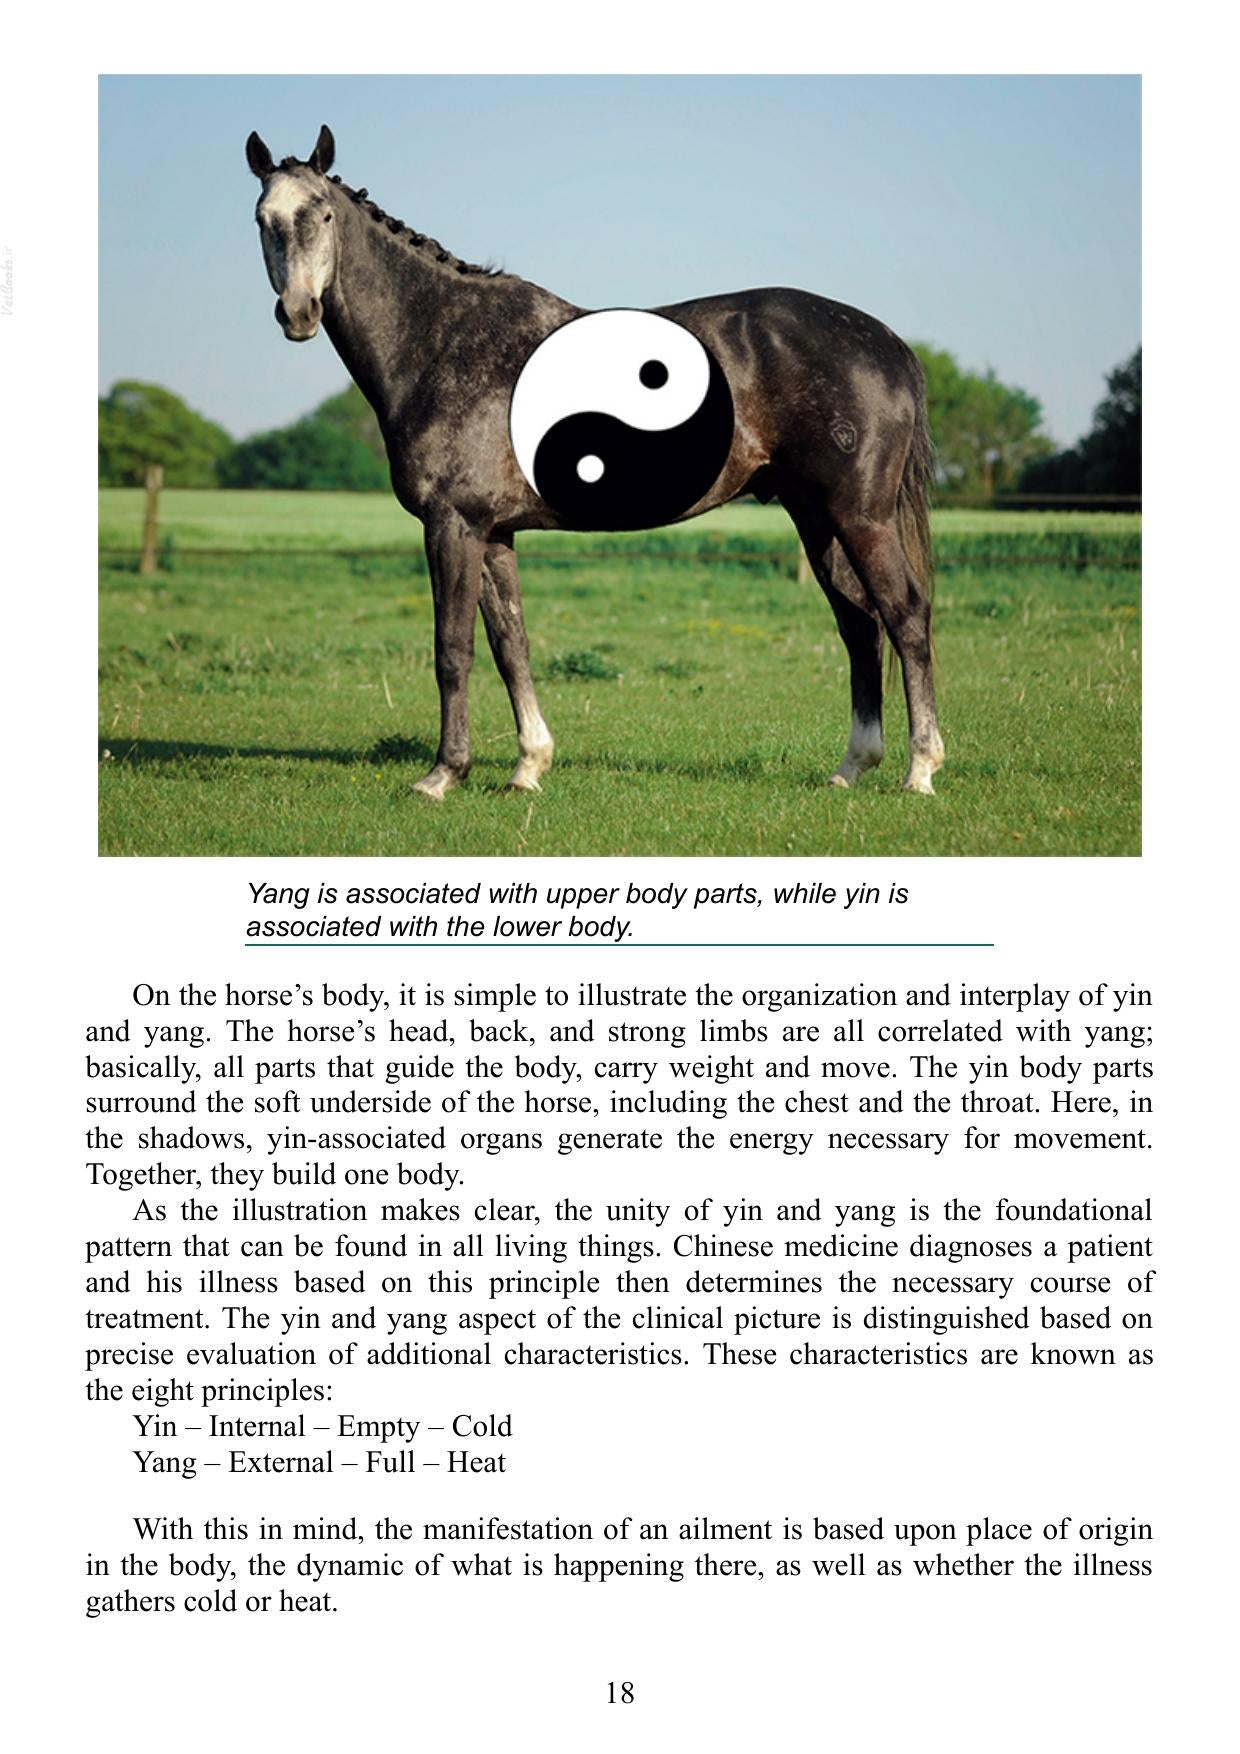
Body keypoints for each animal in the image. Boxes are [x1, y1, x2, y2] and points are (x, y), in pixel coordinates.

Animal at [245, 125, 944, 800]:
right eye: (262, 218)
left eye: (323, 212)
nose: (298, 312)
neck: (443, 340)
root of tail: (887, 344)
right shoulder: (493, 534)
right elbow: (511, 646)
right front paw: (528, 767)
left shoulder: (453, 525)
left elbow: (452, 650)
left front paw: (443, 775)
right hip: (815, 516)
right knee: (859, 625)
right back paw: (852, 766)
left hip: (860, 517)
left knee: (906, 615)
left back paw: (920, 770)